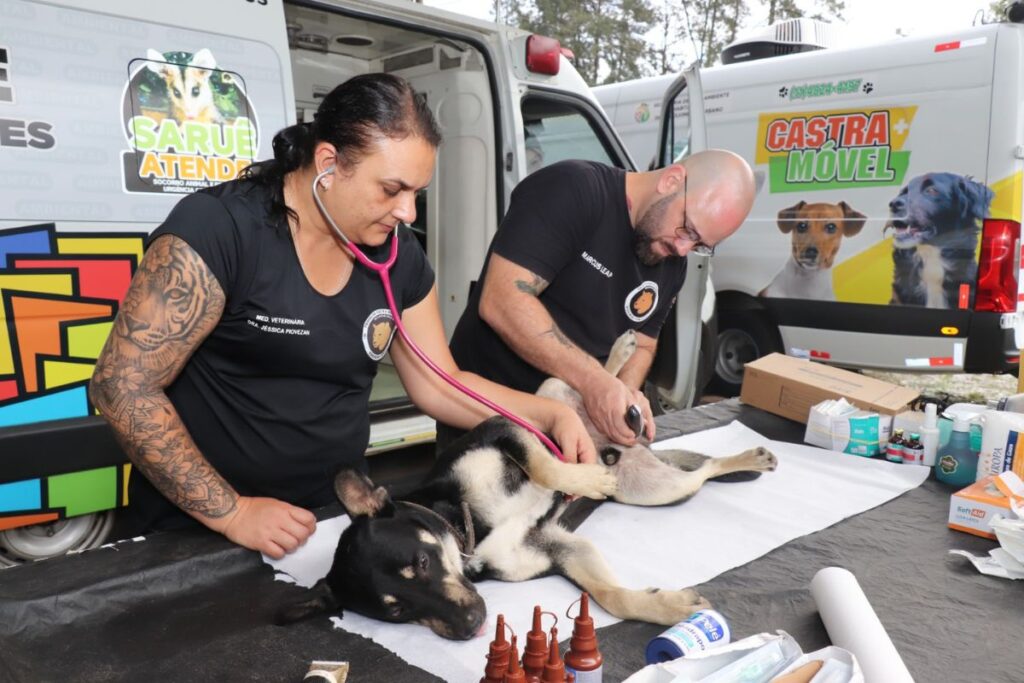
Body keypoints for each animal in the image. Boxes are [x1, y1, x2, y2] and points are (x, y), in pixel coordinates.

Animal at [280, 331, 774, 643]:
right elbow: (612, 596)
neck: (466, 526)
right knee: (698, 468)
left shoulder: (505, 430)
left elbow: (547, 467)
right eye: (397, 611)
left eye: (421, 562)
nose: (471, 625)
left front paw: (584, 476)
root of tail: (625, 442)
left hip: (552, 399)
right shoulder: (559, 548)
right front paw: (667, 608)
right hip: (651, 487)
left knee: (595, 386)